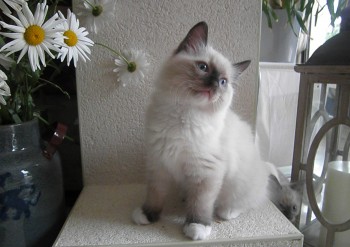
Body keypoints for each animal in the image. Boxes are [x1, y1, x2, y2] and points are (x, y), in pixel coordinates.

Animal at [131, 21, 270, 241]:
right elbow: (155, 194)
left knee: (243, 203)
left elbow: (200, 204)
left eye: (223, 82)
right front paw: (147, 214)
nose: (214, 85)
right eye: (203, 67)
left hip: (240, 186)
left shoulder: (206, 171)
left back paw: (226, 211)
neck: (183, 116)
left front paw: (197, 227)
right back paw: (183, 197)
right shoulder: (159, 163)